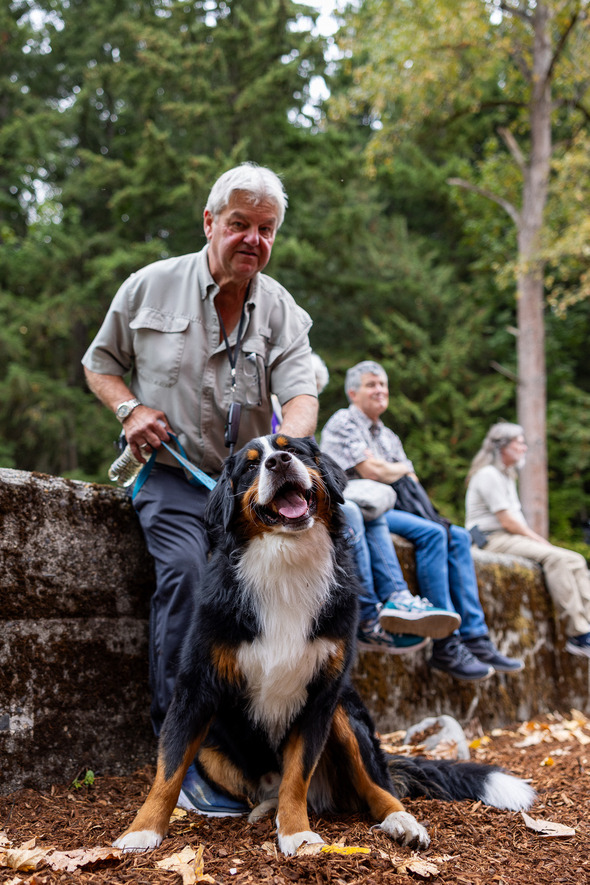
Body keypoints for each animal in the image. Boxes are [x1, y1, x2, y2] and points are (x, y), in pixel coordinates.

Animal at [114, 436, 536, 856]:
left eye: (294, 450)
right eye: (250, 466)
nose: (279, 461)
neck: (286, 565)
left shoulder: (321, 694)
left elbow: (297, 776)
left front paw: (296, 833)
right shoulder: (196, 688)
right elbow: (168, 771)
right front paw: (141, 830)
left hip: (346, 711)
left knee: (377, 786)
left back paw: (401, 822)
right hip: (214, 743)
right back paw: (264, 811)